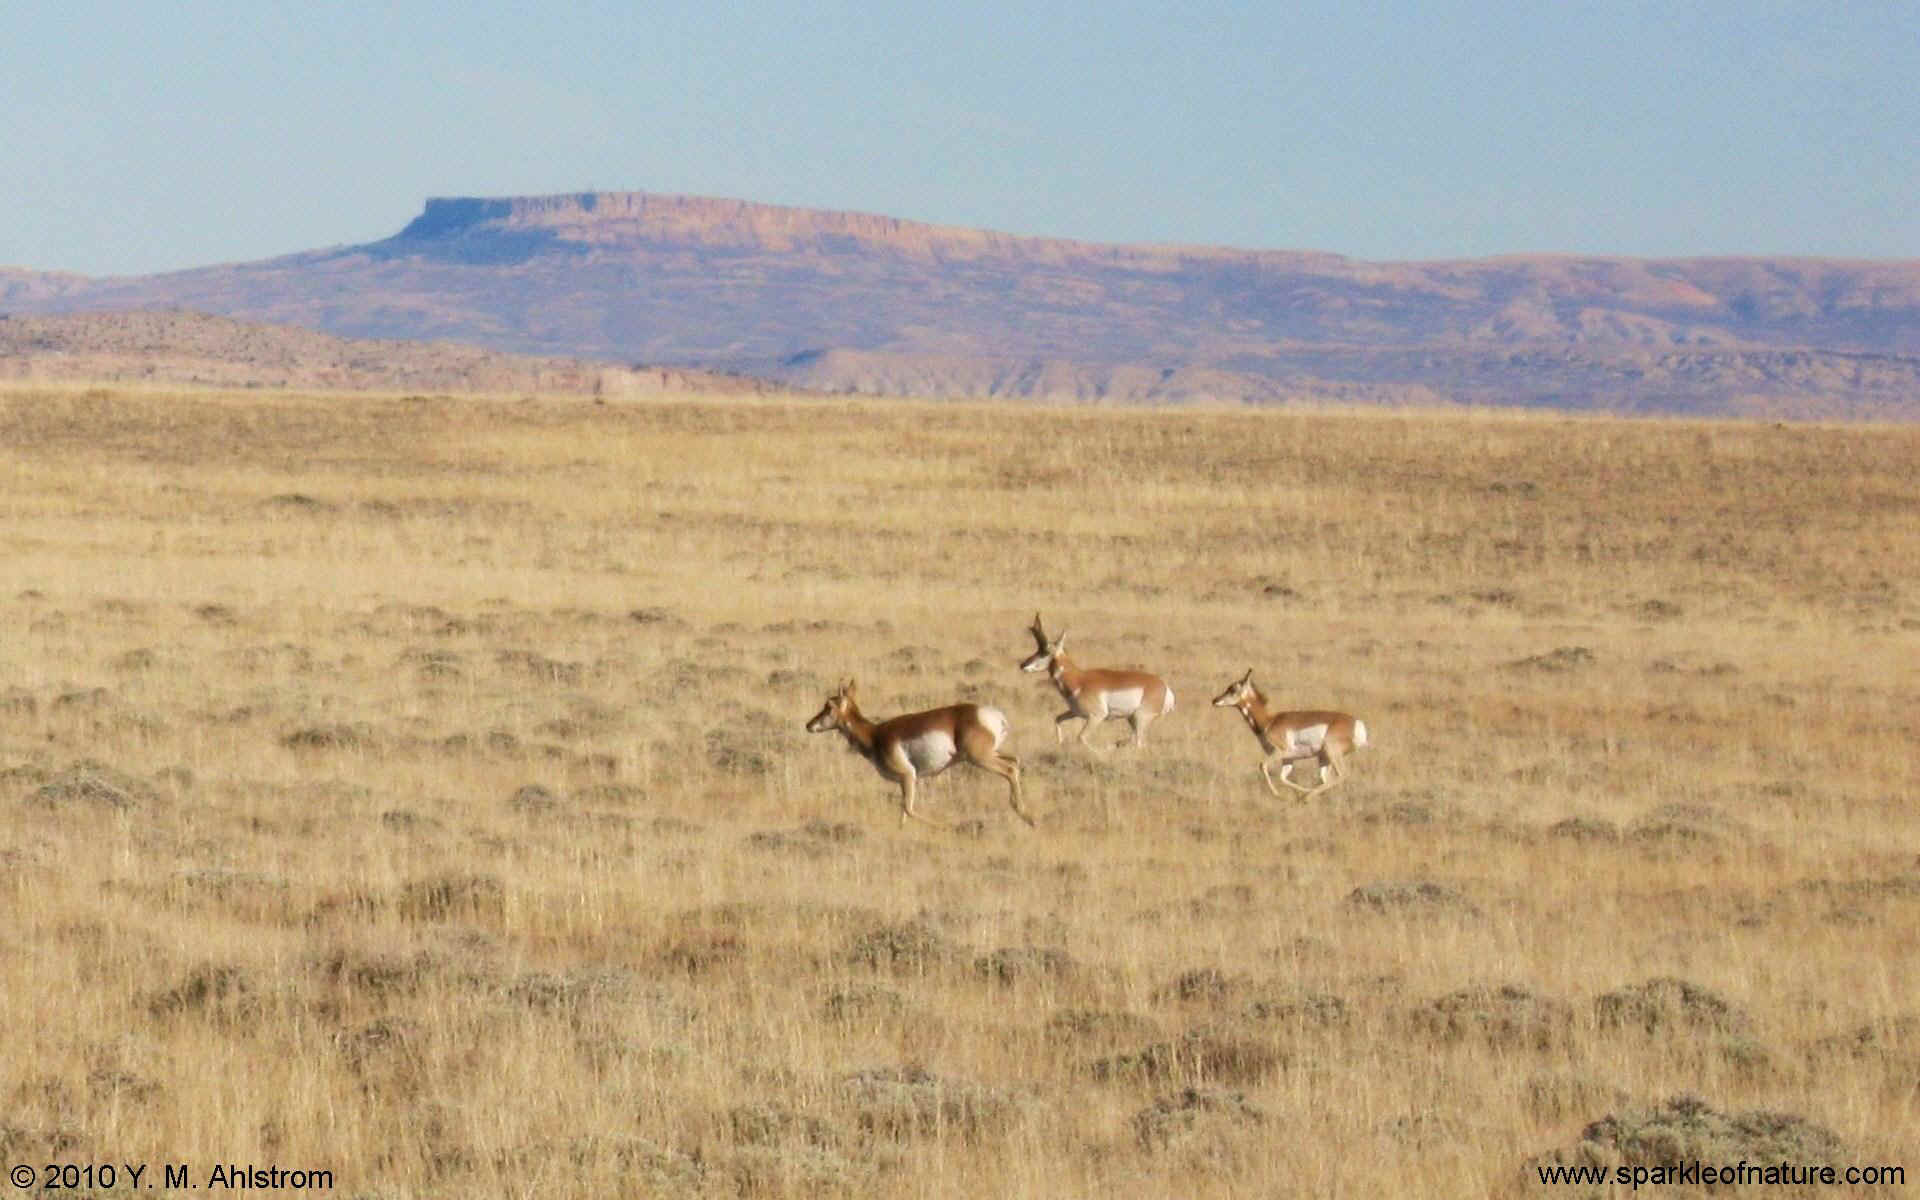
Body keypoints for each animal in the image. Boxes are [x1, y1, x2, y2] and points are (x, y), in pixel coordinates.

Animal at [802, 679, 1036, 829]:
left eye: (828, 706)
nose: (808, 725)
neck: (875, 734)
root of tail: (993, 715)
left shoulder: (908, 776)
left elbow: (909, 809)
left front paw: (945, 825)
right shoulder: (903, 781)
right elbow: (903, 813)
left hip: (980, 758)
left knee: (1010, 769)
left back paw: (1027, 817)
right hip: (990, 754)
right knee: (1015, 761)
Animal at [1021, 606, 1167, 748]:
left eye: (1045, 652)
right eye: (1037, 650)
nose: (1022, 665)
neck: (1079, 680)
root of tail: (1163, 685)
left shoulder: (1096, 717)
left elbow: (1081, 738)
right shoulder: (1074, 712)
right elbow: (1057, 719)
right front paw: (1060, 743)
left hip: (1140, 719)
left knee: (1139, 744)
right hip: (1131, 719)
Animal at [1213, 668, 1367, 798]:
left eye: (1233, 689)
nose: (1215, 700)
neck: (1270, 721)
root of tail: (1357, 723)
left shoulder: (1281, 751)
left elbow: (1262, 765)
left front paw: (1277, 794)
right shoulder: (1288, 759)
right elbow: (1283, 778)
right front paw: (1298, 792)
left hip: (1331, 753)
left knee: (1342, 775)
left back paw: (1306, 797)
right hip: (1324, 758)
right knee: (1325, 779)